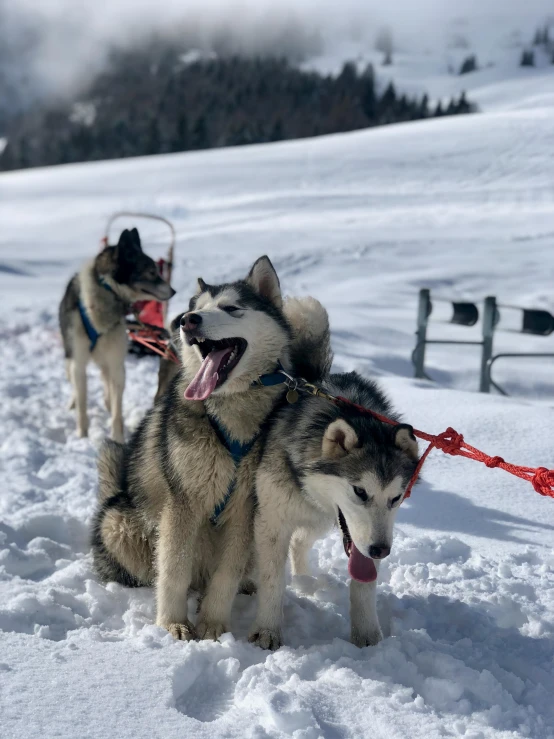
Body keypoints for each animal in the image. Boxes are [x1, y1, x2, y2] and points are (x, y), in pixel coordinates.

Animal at [59, 228, 174, 442]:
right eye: (151, 272)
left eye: (157, 270)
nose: (173, 290)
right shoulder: (79, 363)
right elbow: (82, 403)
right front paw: (82, 434)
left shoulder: (117, 364)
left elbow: (117, 409)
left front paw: (118, 437)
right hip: (71, 357)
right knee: (74, 382)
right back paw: (73, 402)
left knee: (106, 382)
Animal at [92, 258, 330, 640]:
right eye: (196, 308)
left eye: (232, 308)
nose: (187, 321)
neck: (229, 417)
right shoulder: (183, 505)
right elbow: (173, 570)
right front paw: (172, 623)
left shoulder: (245, 510)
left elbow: (226, 574)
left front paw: (213, 624)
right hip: (120, 523)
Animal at [248, 372, 416, 652]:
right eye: (360, 491)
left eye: (396, 498)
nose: (381, 550)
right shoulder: (272, 521)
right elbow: (272, 580)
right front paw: (267, 630)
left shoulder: (372, 537)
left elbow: (364, 585)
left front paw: (367, 635)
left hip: (319, 520)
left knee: (299, 543)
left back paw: (304, 581)